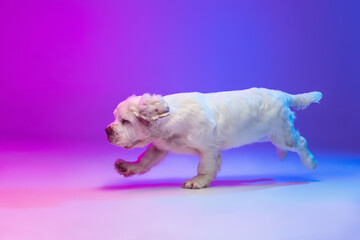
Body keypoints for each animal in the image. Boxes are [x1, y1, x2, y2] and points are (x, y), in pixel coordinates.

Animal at [105, 87, 322, 188]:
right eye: (115, 117)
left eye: (125, 121)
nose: (107, 130)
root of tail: (281, 94)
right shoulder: (161, 146)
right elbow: (146, 159)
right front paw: (128, 166)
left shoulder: (208, 149)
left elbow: (205, 167)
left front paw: (197, 182)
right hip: (268, 134)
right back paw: (282, 155)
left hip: (282, 134)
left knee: (301, 143)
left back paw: (310, 163)